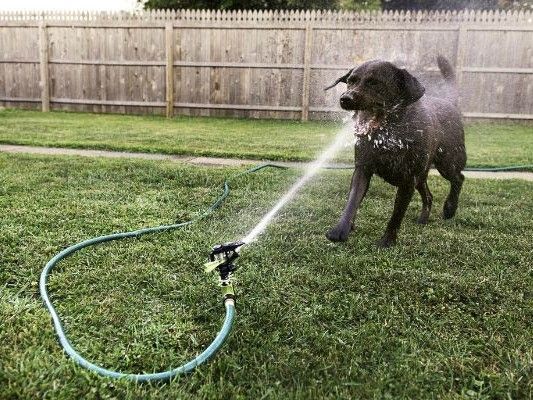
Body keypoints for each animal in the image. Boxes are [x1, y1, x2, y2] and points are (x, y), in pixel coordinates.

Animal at [322, 54, 464, 245]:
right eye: (351, 81)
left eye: (374, 83)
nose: (345, 98)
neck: (389, 135)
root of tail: (448, 102)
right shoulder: (363, 169)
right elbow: (352, 201)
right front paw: (340, 230)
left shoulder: (408, 180)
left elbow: (397, 214)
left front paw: (387, 241)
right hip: (421, 175)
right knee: (429, 196)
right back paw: (423, 219)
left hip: (446, 162)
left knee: (458, 178)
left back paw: (450, 208)